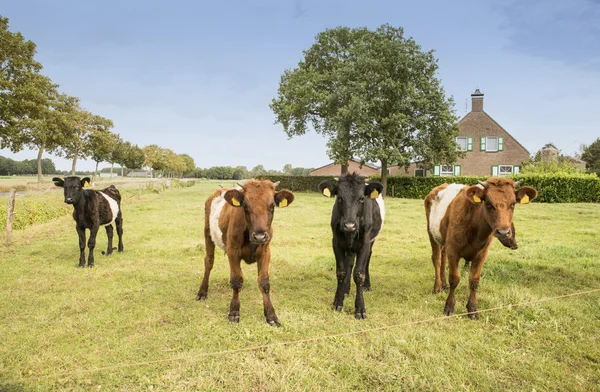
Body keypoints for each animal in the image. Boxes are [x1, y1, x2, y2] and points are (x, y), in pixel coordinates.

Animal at [197, 179, 296, 326]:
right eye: (245, 206)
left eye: (272, 205)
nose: (259, 236)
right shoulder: (232, 251)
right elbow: (237, 281)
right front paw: (234, 312)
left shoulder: (266, 252)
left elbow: (264, 283)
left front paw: (271, 315)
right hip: (207, 233)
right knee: (209, 262)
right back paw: (202, 292)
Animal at [318, 173, 384, 320]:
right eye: (339, 198)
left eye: (361, 199)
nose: (349, 225)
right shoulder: (336, 242)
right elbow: (341, 271)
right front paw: (338, 301)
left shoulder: (365, 243)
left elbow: (359, 274)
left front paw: (360, 309)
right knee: (349, 262)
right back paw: (346, 290)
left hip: (371, 241)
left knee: (367, 260)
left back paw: (367, 286)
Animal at [424, 178, 536, 318]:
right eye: (488, 203)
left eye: (513, 204)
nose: (503, 232)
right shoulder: (454, 251)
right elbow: (454, 279)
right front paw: (449, 307)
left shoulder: (481, 254)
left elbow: (474, 281)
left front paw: (472, 309)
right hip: (431, 233)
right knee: (437, 259)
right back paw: (437, 286)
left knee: (443, 256)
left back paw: (443, 284)